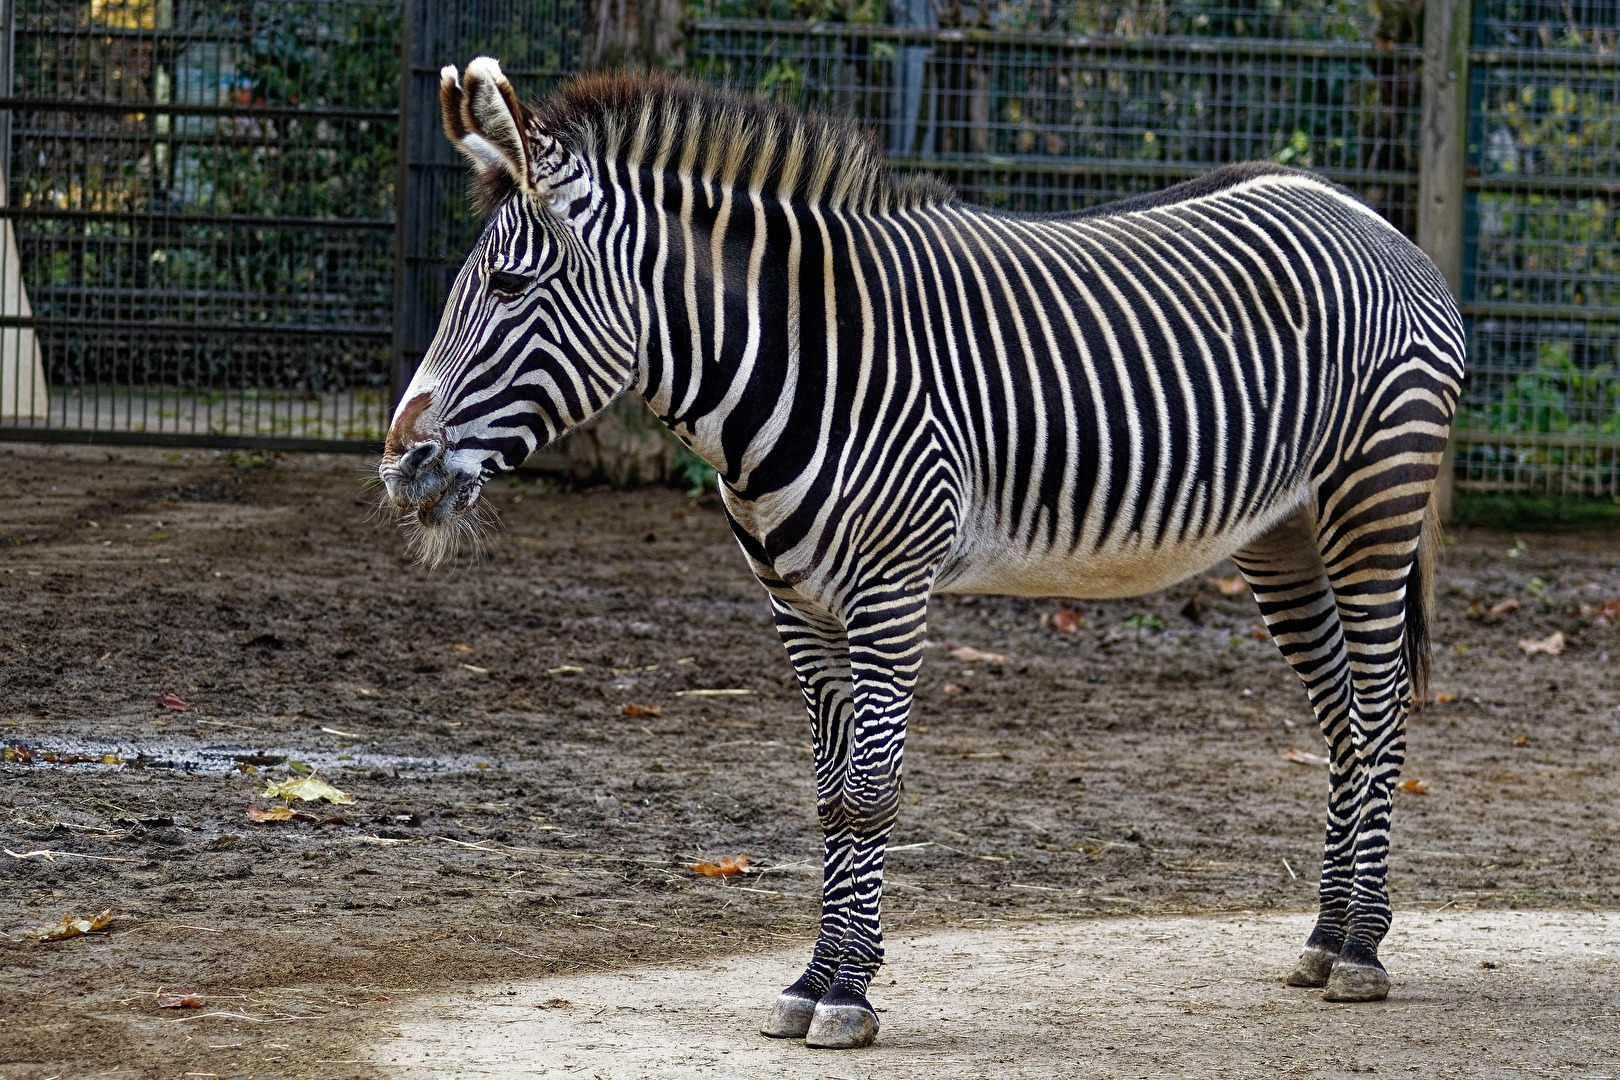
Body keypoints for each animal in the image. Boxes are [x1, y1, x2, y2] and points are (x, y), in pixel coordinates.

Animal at [379, 59, 1465, 1050]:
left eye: (511, 286)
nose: (399, 465)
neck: (801, 359)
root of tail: (1367, 215)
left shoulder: (891, 591)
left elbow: (870, 793)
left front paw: (848, 995)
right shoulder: (795, 603)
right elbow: (829, 798)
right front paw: (815, 980)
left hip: (1373, 506)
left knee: (1378, 717)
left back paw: (1363, 948)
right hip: (1284, 537)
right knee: (1339, 719)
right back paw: (1326, 935)